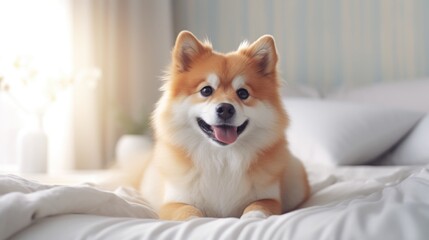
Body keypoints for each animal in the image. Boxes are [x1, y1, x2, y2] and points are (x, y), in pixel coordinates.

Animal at [139, 31, 310, 220]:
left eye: (243, 93)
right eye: (206, 90)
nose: (226, 109)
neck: (222, 158)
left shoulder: (269, 198)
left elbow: (257, 206)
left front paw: (252, 219)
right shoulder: (173, 203)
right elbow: (188, 212)